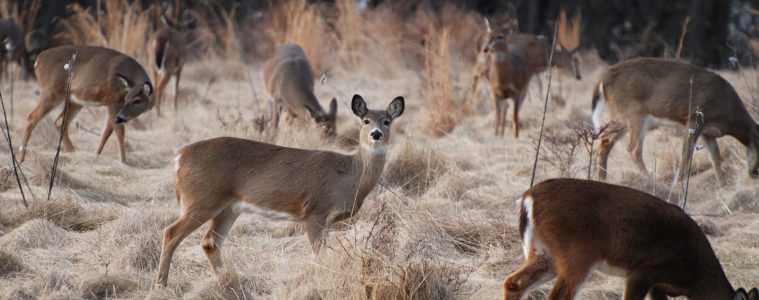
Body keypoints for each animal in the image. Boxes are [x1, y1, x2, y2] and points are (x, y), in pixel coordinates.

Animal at [18, 45, 154, 164]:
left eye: (136, 100)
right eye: (127, 98)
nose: (121, 118)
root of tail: (38, 60)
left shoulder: (113, 105)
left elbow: (106, 132)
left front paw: (96, 155)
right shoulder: (113, 99)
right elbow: (119, 131)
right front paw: (124, 161)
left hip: (74, 100)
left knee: (60, 121)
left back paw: (73, 152)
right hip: (51, 91)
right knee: (32, 117)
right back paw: (21, 158)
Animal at [154, 95, 404, 288]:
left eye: (387, 121)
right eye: (365, 120)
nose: (376, 134)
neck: (349, 176)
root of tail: (179, 157)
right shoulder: (315, 211)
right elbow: (320, 254)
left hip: (228, 208)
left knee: (209, 243)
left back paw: (229, 283)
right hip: (201, 199)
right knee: (171, 233)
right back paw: (161, 284)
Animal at [504, 178, 759, 300]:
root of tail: (528, 198)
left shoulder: (659, 286)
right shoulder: (643, 271)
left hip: (544, 253)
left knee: (513, 283)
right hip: (577, 254)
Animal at [592, 56, 759, 185]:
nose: (754, 173)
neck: (730, 116)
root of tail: (602, 79)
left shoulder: (708, 132)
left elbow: (716, 158)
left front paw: (723, 185)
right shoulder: (694, 118)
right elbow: (686, 154)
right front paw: (676, 184)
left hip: (622, 115)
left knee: (606, 140)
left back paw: (602, 178)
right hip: (636, 113)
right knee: (633, 149)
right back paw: (650, 178)